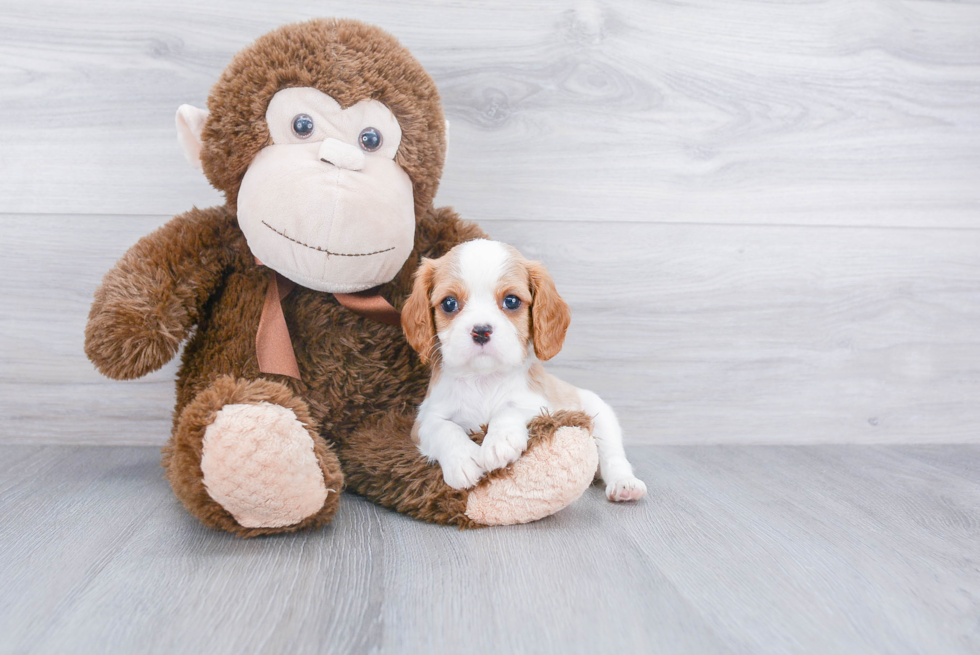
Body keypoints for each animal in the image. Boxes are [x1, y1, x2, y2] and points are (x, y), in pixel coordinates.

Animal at [402, 240, 648, 502]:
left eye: (511, 301)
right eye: (449, 303)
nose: (481, 331)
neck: (483, 378)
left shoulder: (543, 406)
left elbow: (511, 409)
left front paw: (499, 441)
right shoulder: (423, 421)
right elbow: (443, 428)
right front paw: (463, 459)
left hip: (601, 417)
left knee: (613, 458)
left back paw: (625, 485)